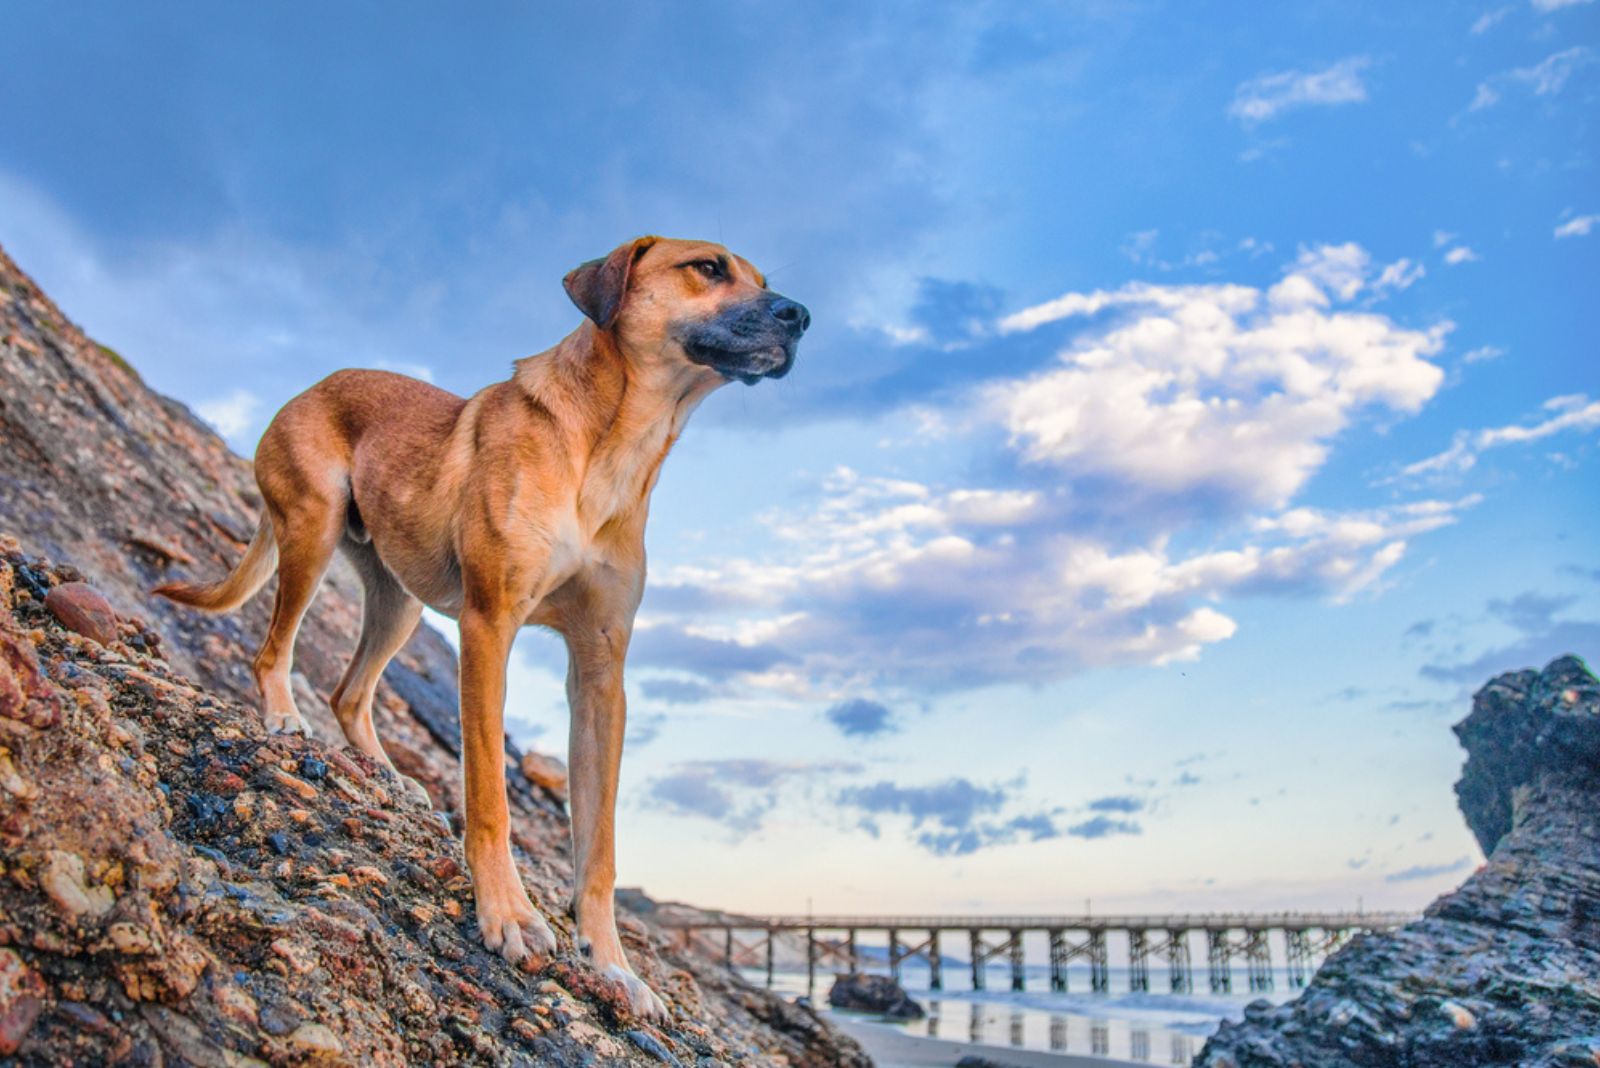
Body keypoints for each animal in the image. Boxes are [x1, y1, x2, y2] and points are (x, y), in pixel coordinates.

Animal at [156, 235, 806, 1016]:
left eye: (762, 278)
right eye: (707, 268)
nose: (802, 316)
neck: (614, 446)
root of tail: (313, 385)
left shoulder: (601, 674)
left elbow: (599, 850)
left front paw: (614, 965)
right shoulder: (488, 626)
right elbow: (491, 797)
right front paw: (509, 915)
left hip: (399, 600)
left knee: (350, 692)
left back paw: (386, 773)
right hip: (311, 528)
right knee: (271, 649)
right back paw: (283, 716)